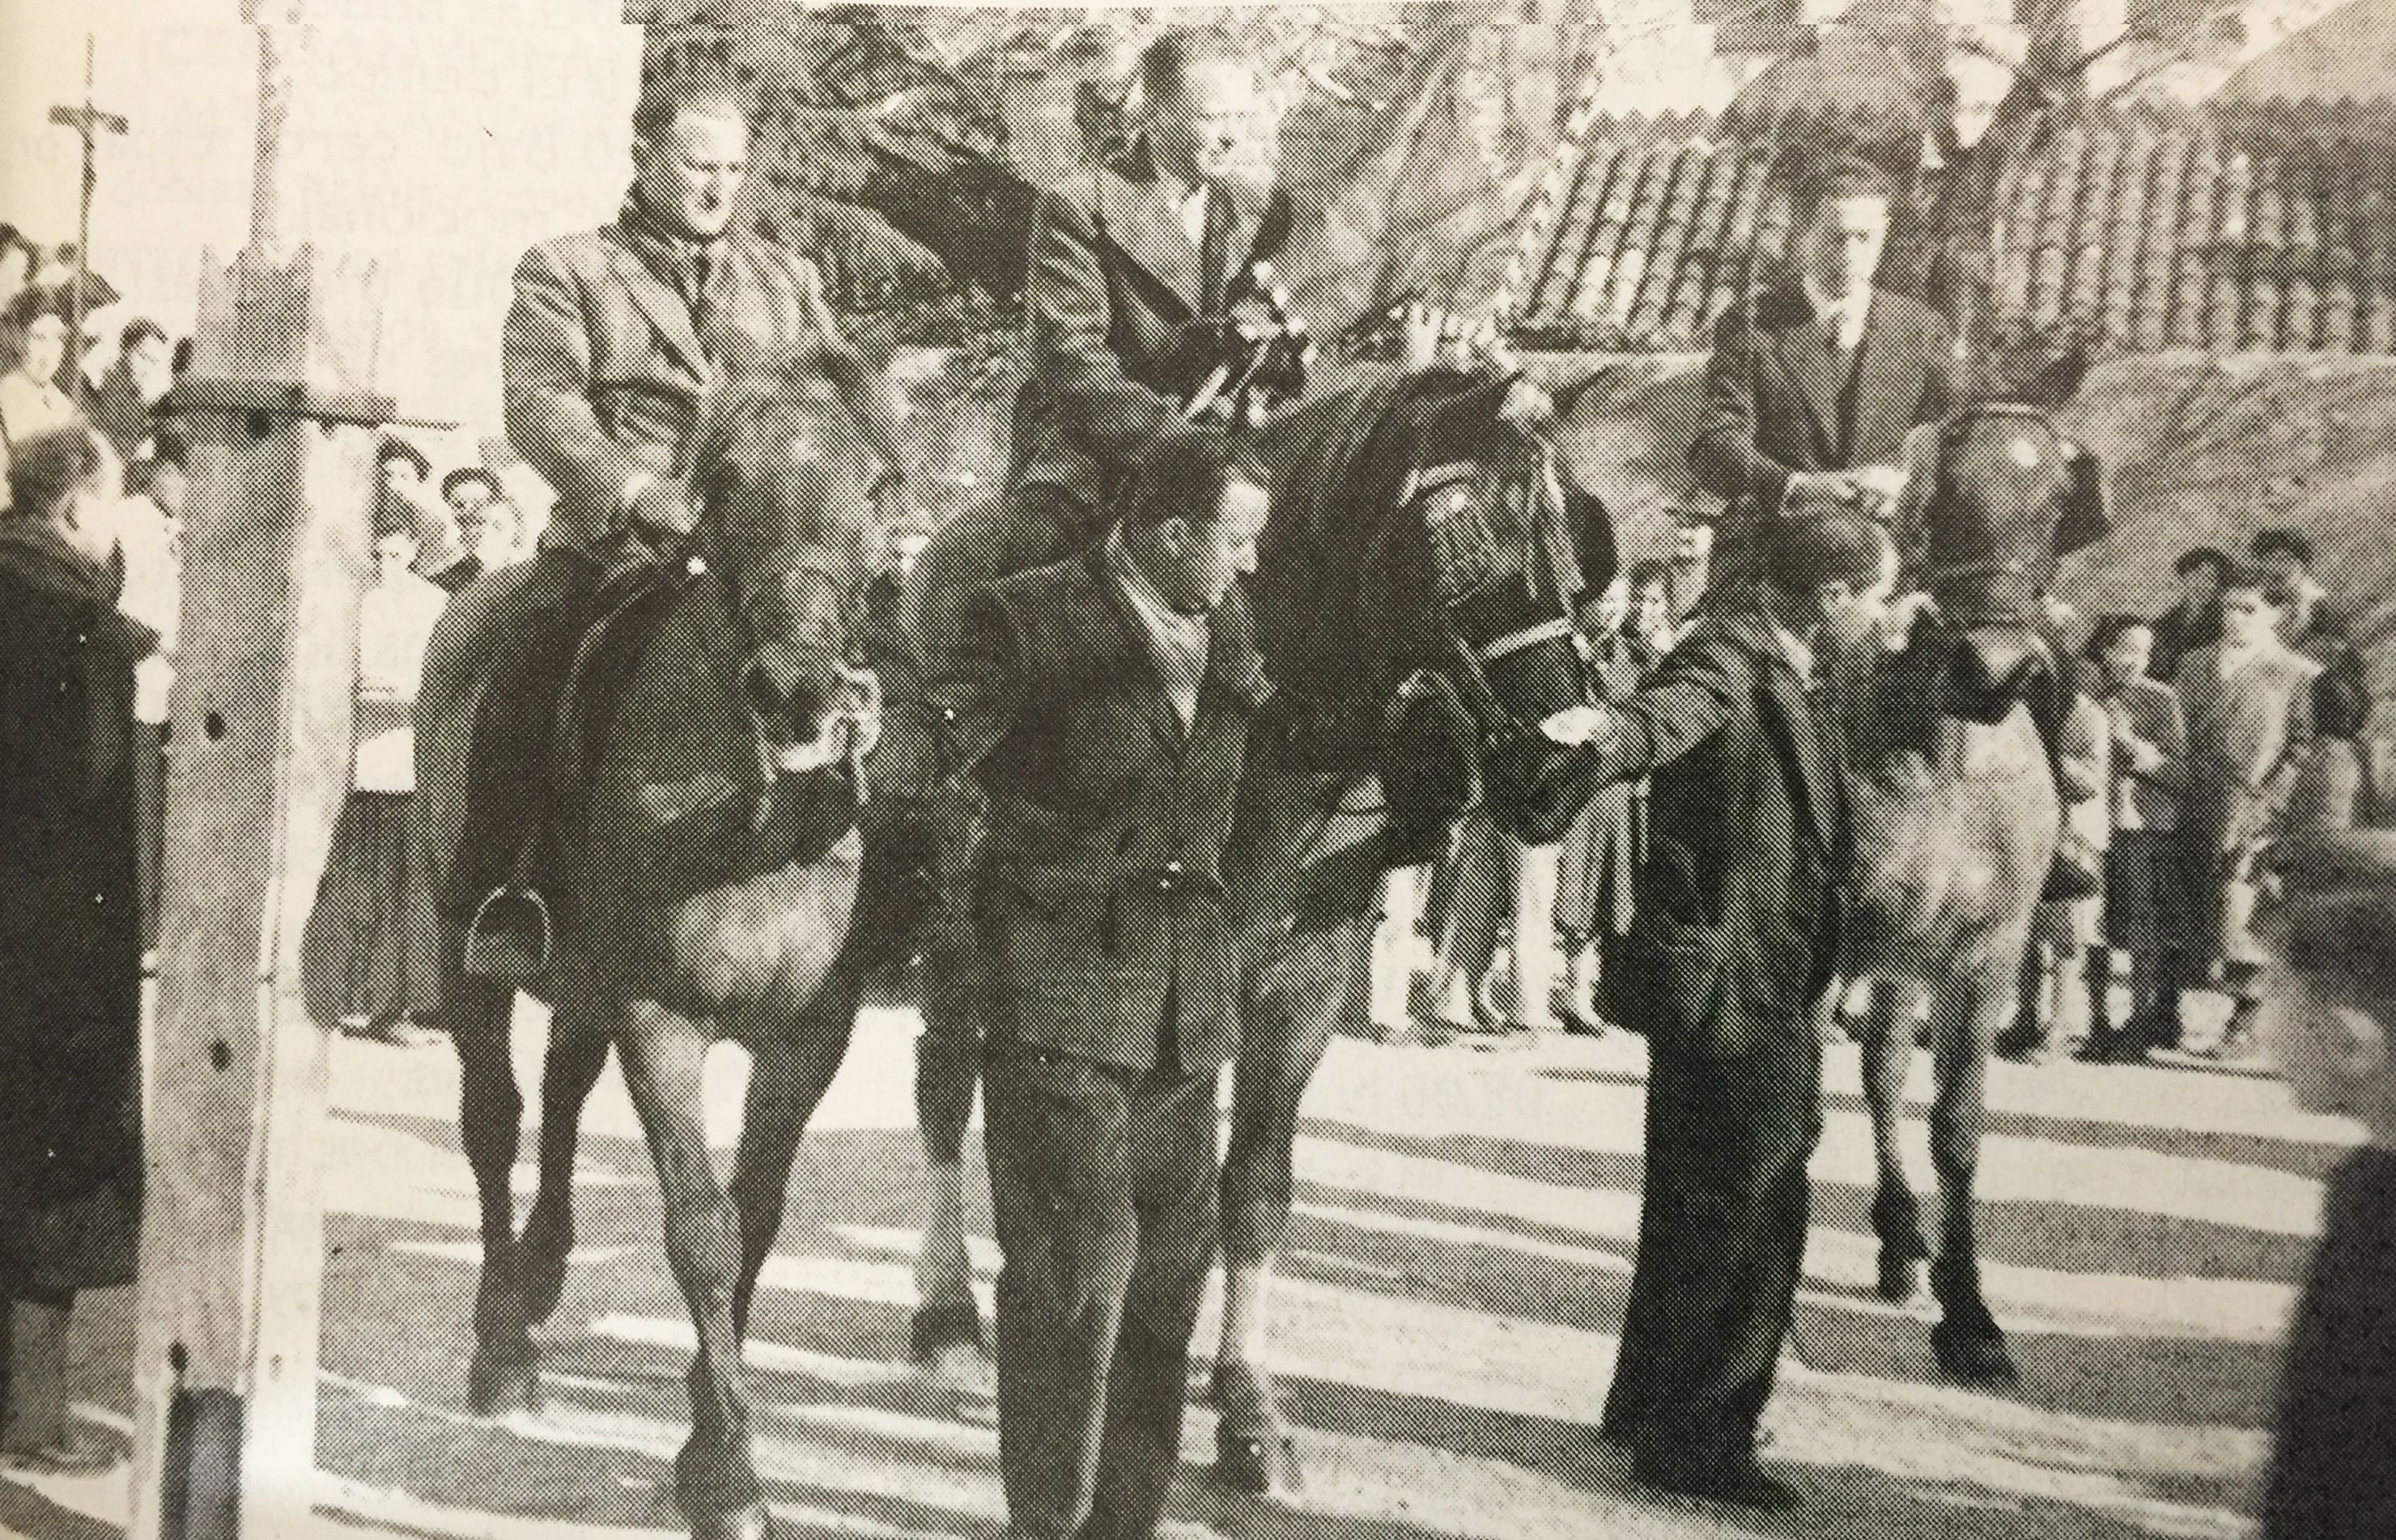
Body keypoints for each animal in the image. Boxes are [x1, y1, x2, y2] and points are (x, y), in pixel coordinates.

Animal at [412, 350, 900, 1540]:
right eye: (720, 484)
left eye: (878, 484)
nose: (798, 686)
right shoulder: (661, 1017)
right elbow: (702, 1227)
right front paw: (726, 1471)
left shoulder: (810, 1036)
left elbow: (759, 1216)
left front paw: (703, 1413)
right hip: (463, 949)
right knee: (494, 1119)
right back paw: (503, 1340)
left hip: (585, 982)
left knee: (561, 1091)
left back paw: (542, 1270)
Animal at [1820, 397, 2108, 1389]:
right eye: (1943, 493)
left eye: (2054, 502)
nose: (1998, 668)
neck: (1948, 754)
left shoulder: (1985, 953)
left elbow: (1956, 1124)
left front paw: (1971, 1316)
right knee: (1873, 1072)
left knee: (1883, 1068)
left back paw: (1903, 1243)